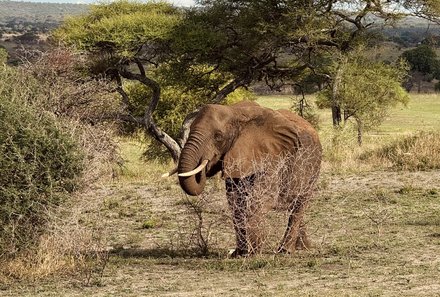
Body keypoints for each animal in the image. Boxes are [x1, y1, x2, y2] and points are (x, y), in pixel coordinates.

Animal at [175, 100, 324, 256]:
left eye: (218, 136)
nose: (207, 163)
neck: (235, 112)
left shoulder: (271, 157)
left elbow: (262, 197)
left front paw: (253, 252)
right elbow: (235, 201)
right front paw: (239, 253)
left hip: (313, 166)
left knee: (299, 205)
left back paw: (286, 250)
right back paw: (303, 247)